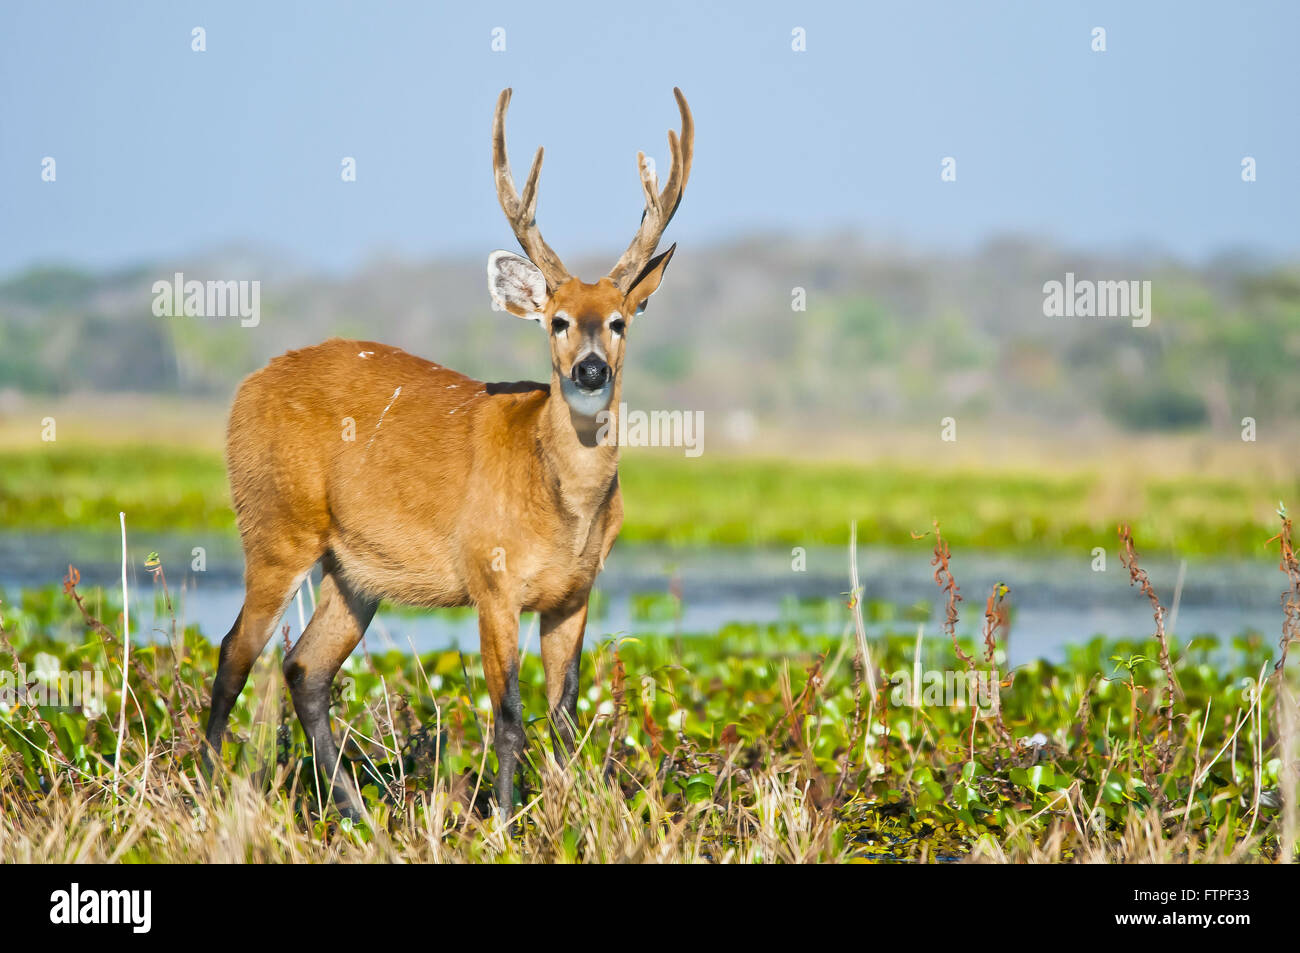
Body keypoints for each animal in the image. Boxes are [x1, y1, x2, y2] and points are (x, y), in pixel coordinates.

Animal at [205, 87, 691, 816]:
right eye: (557, 321)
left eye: (618, 321)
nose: (589, 370)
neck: (561, 503)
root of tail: (246, 386)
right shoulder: (491, 579)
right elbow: (510, 715)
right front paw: (505, 819)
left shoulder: (574, 594)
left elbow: (566, 715)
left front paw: (573, 813)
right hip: (276, 526)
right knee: (236, 649)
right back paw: (200, 786)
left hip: (354, 571)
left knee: (304, 667)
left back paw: (355, 810)